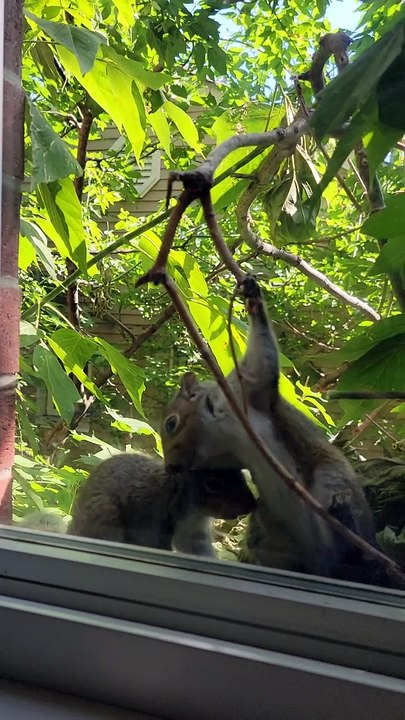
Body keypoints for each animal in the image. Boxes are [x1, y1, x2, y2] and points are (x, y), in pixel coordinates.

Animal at [66, 452, 256, 557]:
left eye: (240, 473)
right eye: (213, 485)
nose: (251, 505)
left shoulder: (193, 530)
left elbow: (197, 549)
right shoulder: (151, 519)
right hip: (105, 518)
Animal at [160, 277, 399, 587]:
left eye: (171, 423)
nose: (171, 466)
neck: (218, 432)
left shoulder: (249, 387)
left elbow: (262, 357)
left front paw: (253, 297)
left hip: (332, 483)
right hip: (264, 532)